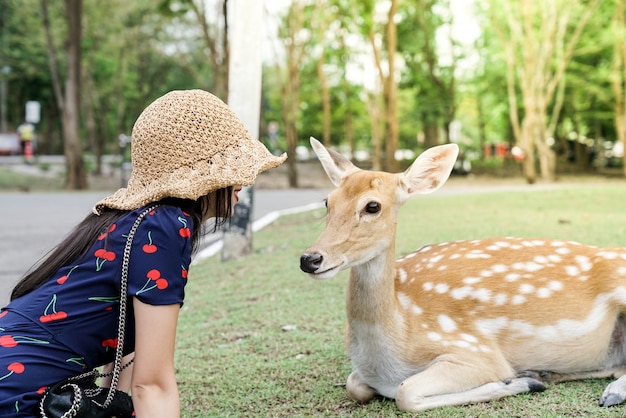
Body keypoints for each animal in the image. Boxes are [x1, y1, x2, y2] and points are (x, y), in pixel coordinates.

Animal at [298, 136, 626, 412]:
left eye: (372, 205)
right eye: (327, 201)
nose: (310, 258)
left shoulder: (474, 349)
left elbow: (406, 393)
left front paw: (519, 382)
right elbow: (355, 386)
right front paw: (529, 378)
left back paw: (604, 391)